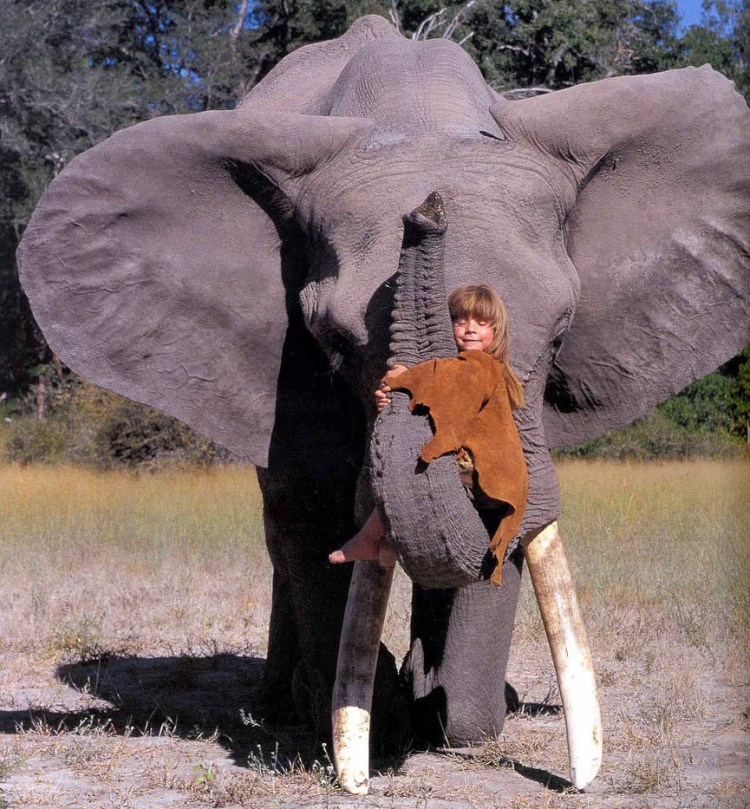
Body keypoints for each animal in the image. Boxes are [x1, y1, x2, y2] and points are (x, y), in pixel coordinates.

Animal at [16, 11, 750, 796]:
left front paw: (451, 707)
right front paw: (368, 714)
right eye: (334, 343)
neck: (418, 114)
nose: (427, 211)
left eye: (559, 334)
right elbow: (313, 512)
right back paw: (291, 702)